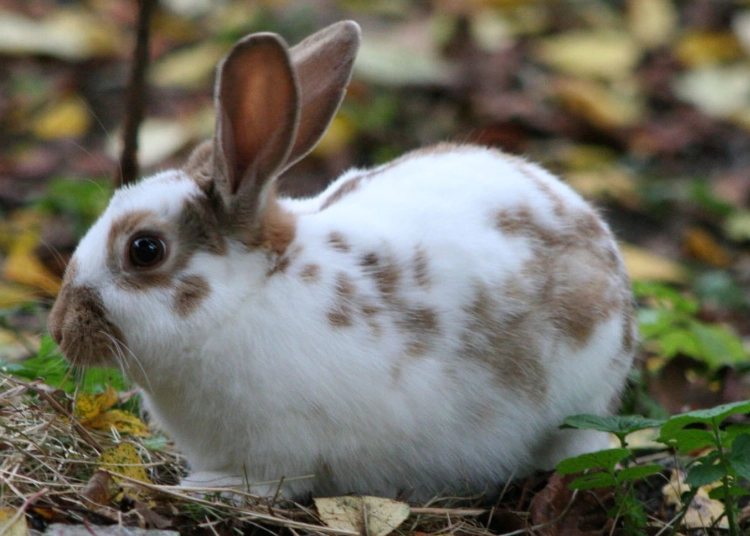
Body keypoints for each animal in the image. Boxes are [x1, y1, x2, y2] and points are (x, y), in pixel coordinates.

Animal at [48, 20, 636, 502]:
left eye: (145, 250)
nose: (59, 328)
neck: (247, 298)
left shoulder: (278, 453)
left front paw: (204, 486)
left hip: (577, 405)